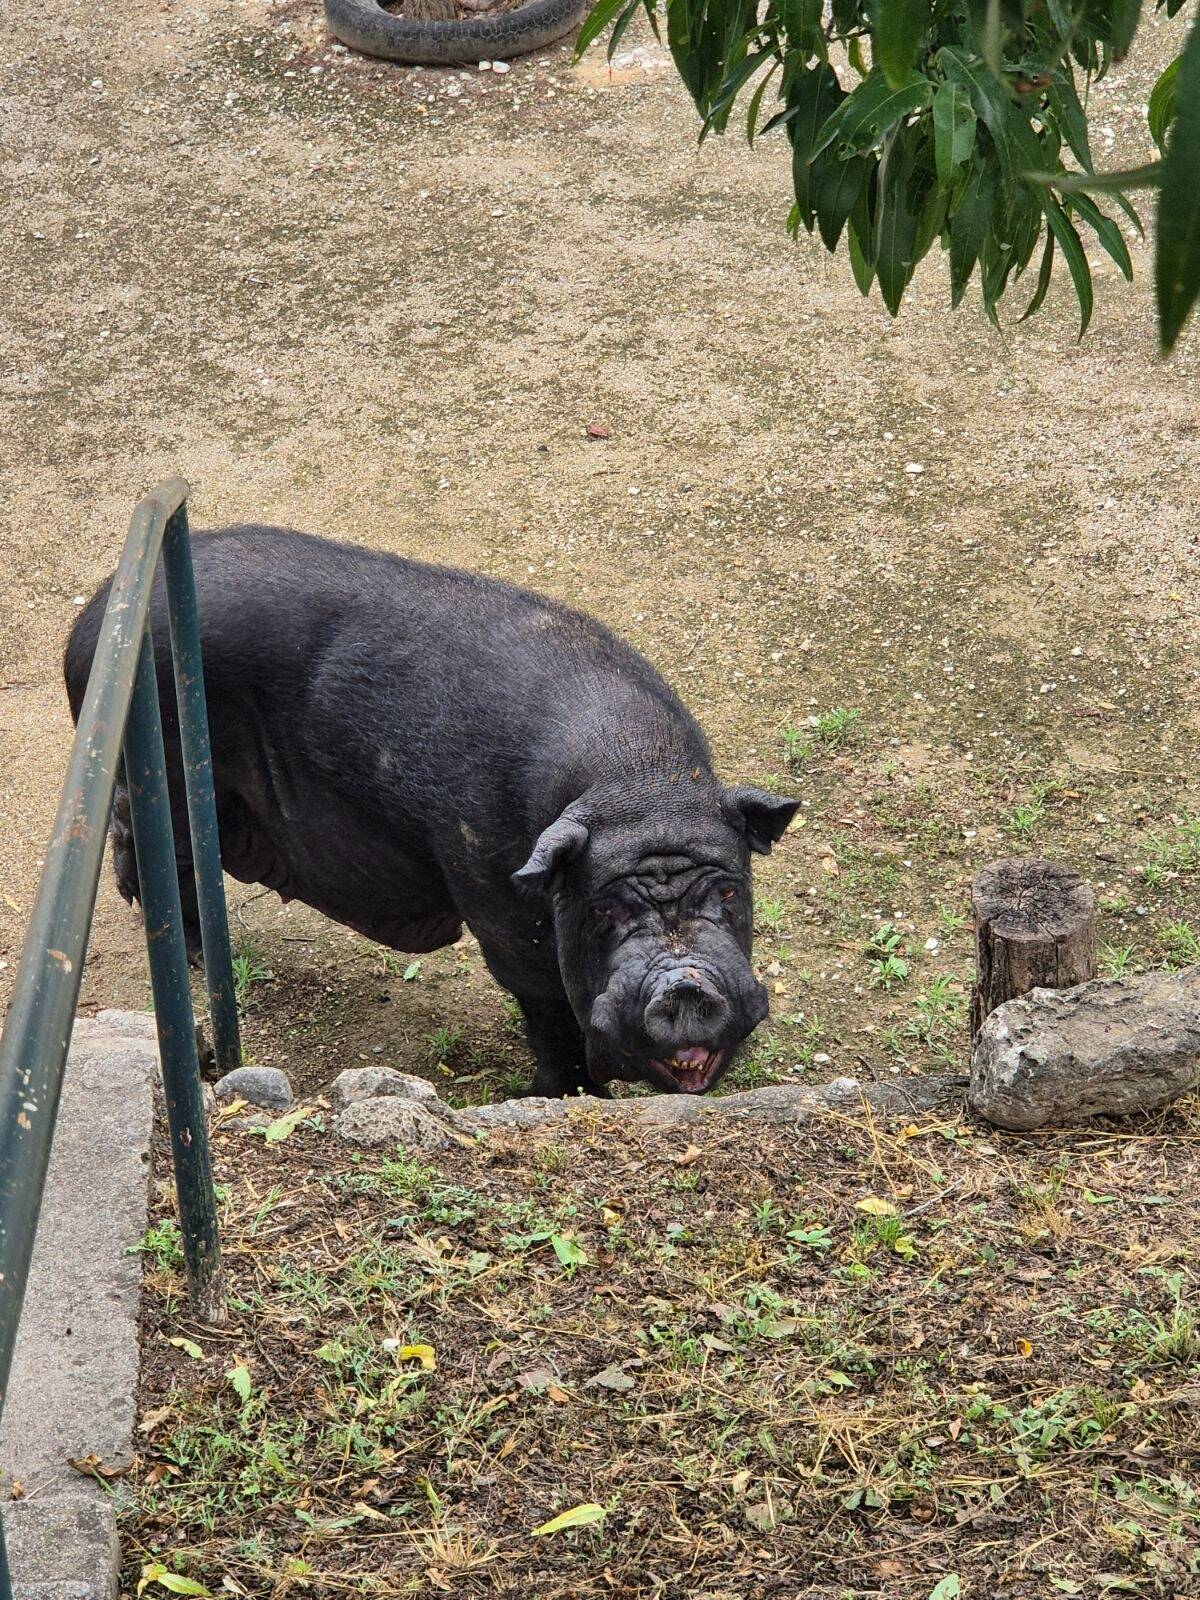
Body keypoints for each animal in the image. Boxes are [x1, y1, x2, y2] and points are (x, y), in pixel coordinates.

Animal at [65, 527, 798, 1097]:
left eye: (729, 891)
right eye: (604, 911)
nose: (685, 984)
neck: (641, 783)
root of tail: (95, 617)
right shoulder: (491, 891)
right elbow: (545, 1003)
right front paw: (559, 1095)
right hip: (171, 768)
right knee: (159, 849)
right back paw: (186, 948)